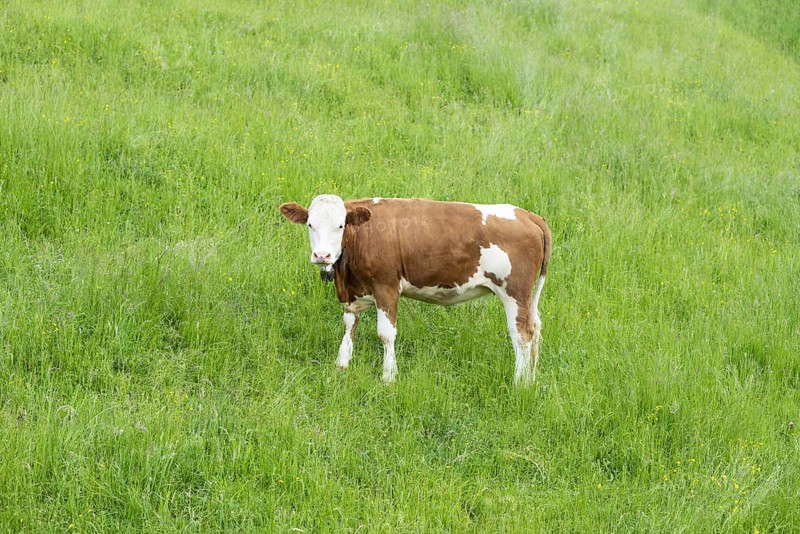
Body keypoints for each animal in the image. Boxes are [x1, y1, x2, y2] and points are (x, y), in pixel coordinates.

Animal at [279, 195, 551, 385]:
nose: (322, 255)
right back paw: (531, 379)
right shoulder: (353, 293)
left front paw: (389, 377)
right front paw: (342, 365)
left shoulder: (387, 287)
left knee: (522, 335)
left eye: (340, 225)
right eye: (310, 224)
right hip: (527, 298)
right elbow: (349, 326)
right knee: (536, 328)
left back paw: (519, 383)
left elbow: (386, 334)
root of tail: (528, 215)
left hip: (514, 293)